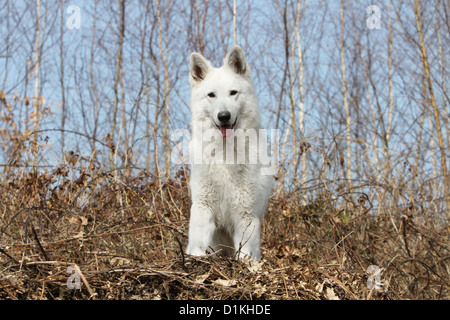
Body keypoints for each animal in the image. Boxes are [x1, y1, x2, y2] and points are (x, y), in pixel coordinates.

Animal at [185, 45, 272, 260]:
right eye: (211, 95)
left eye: (233, 93)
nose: (223, 116)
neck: (225, 153)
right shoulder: (203, 207)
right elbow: (198, 244)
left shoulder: (246, 215)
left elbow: (245, 253)